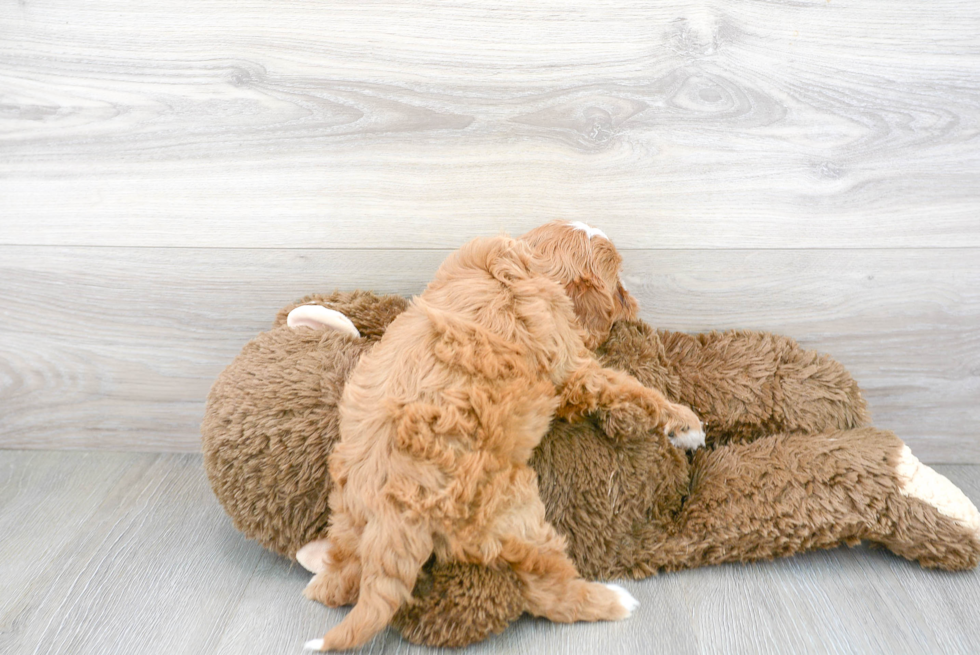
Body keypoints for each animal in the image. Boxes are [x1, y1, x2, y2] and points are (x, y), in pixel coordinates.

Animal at [302, 222, 700, 652]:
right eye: (619, 288)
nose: (636, 305)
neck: (527, 261)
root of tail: (390, 509)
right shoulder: (572, 363)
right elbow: (628, 387)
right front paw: (686, 424)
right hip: (512, 509)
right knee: (546, 587)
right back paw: (612, 600)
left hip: (347, 513)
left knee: (340, 581)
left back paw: (321, 568)